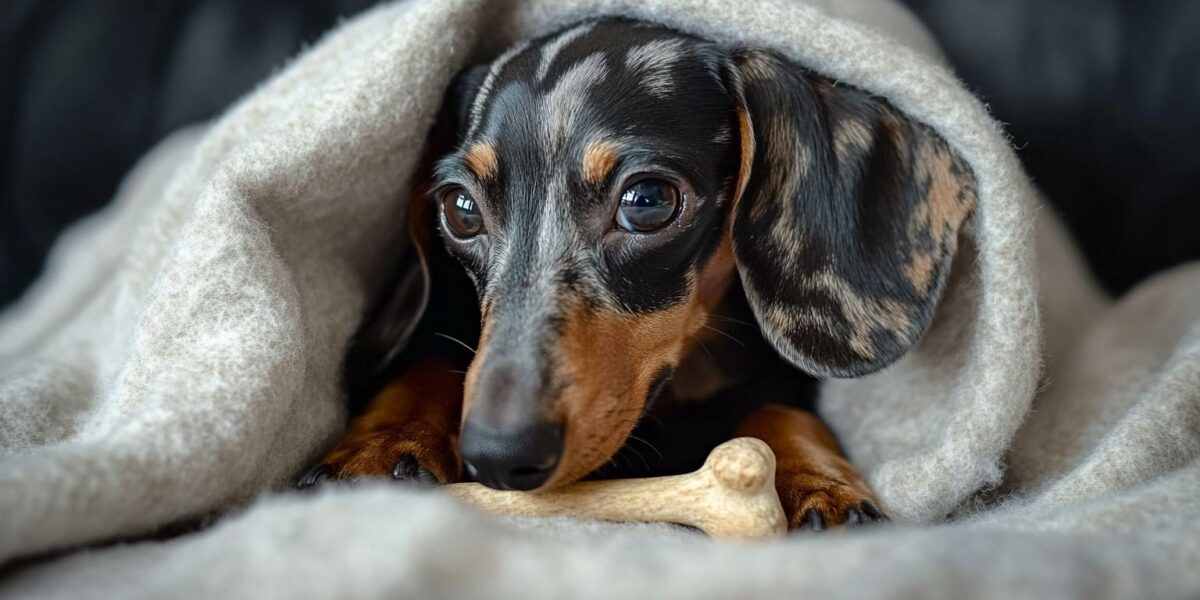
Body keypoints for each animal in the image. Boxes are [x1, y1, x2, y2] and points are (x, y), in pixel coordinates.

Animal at [297, 17, 974, 530]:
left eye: (647, 201)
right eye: (460, 209)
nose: (498, 456)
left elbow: (784, 409)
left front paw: (821, 484)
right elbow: (431, 362)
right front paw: (382, 442)